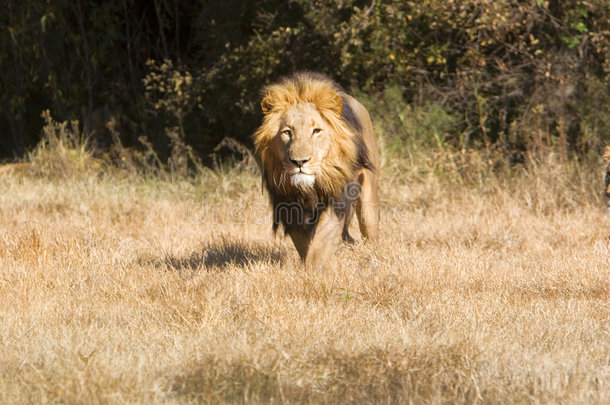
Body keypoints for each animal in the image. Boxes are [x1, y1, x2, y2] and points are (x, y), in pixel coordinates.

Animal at [251, 72, 376, 268]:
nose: (299, 162)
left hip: (368, 197)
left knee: (370, 230)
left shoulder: (336, 197)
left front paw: (314, 269)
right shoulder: (288, 203)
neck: (307, 189)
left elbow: (321, 241)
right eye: (287, 132)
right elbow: (303, 241)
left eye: (316, 131)